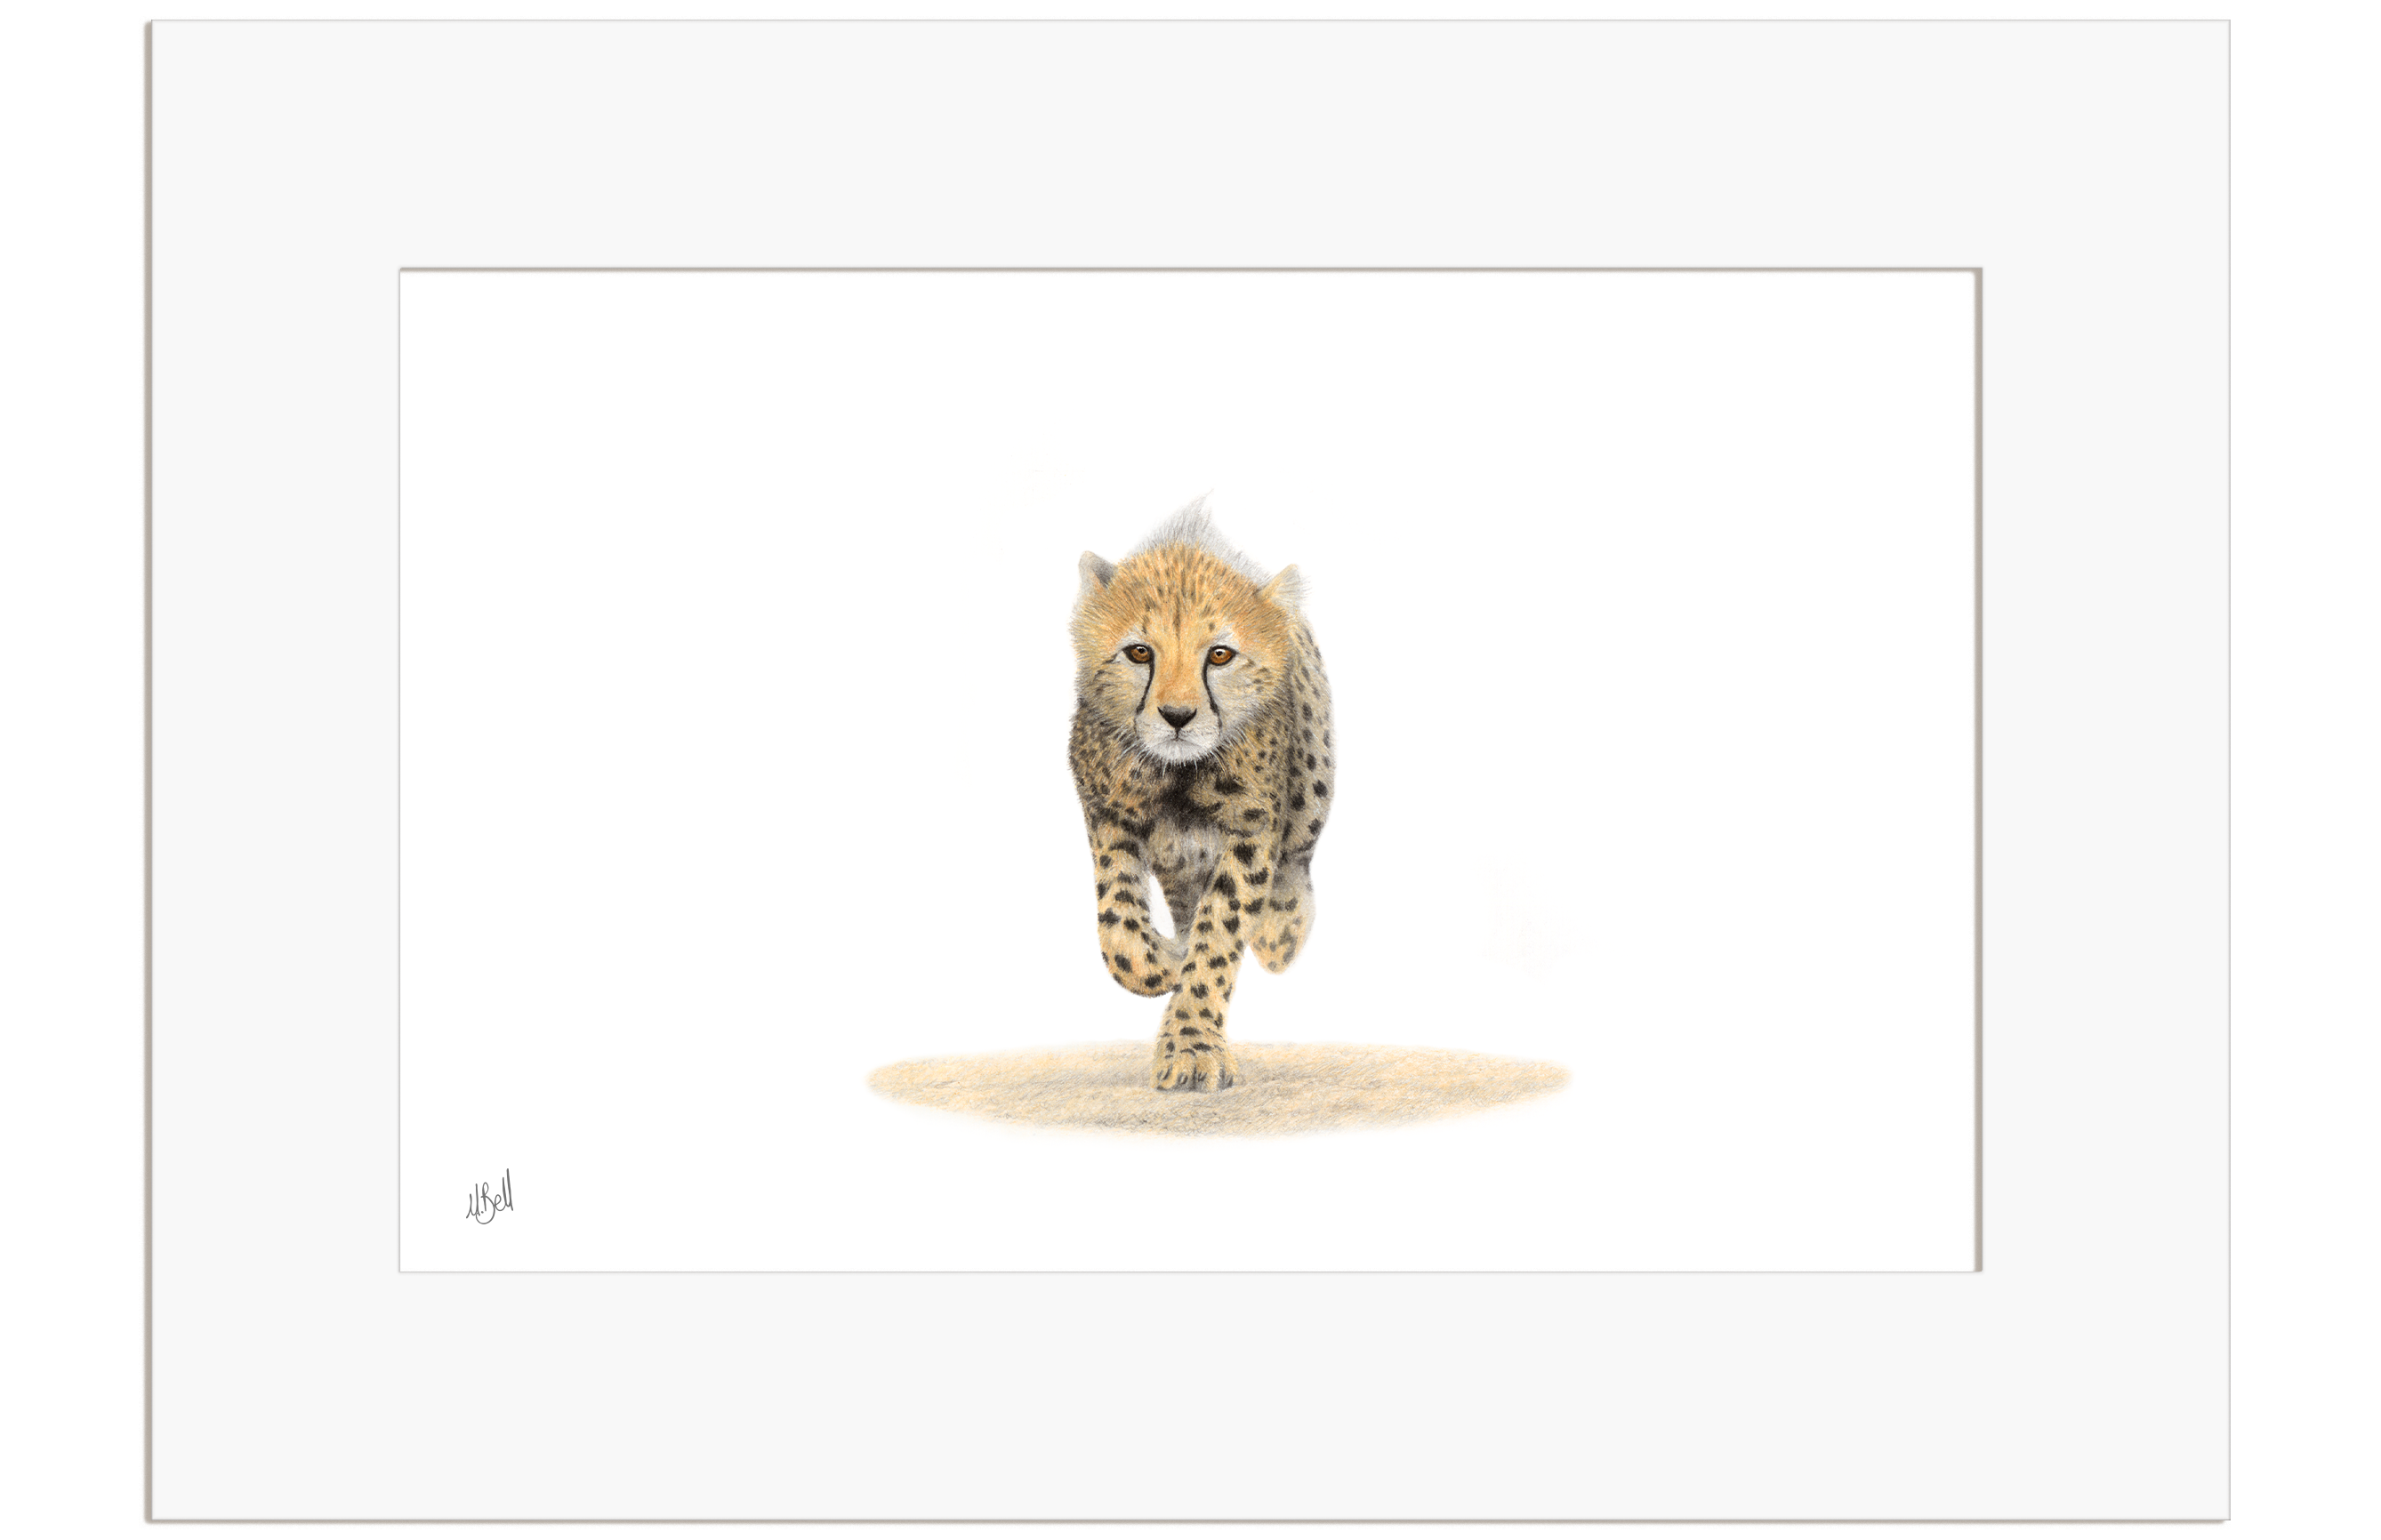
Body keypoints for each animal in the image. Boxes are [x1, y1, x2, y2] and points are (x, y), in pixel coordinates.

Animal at [1068, 498, 1335, 1091]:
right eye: (1138, 652)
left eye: (1220, 655)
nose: (1177, 716)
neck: (1179, 774)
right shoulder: (1107, 811)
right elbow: (1120, 930)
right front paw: (1163, 963)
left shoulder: (1252, 829)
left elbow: (1220, 932)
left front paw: (1191, 1048)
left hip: (1313, 778)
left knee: (1298, 855)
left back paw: (1283, 930)